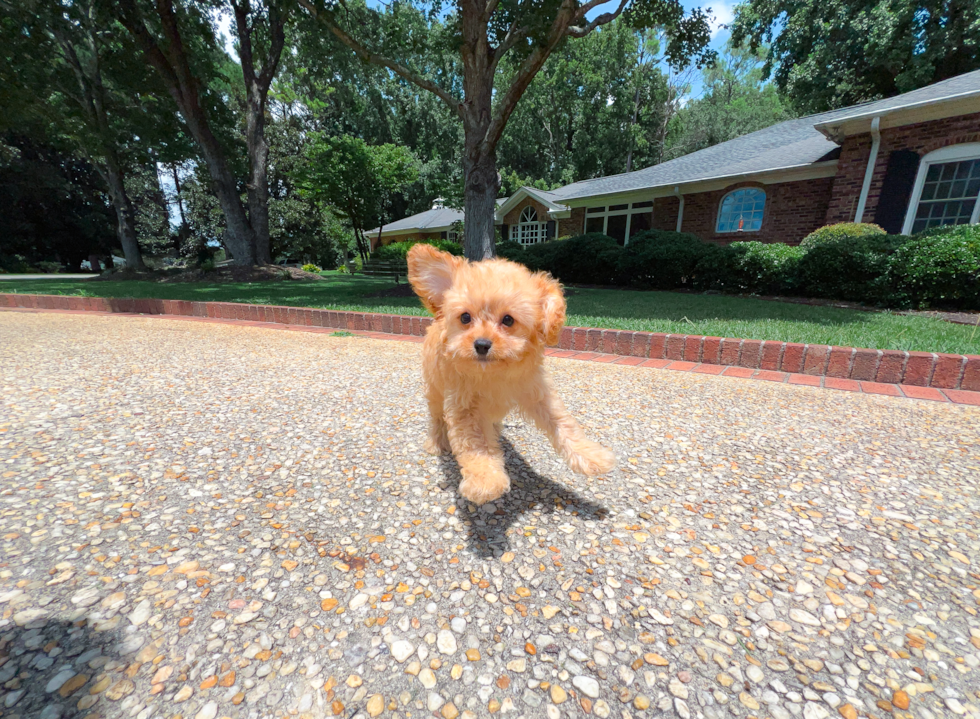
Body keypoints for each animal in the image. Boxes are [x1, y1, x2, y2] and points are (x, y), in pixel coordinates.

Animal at [406, 248, 612, 506]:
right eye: (465, 318)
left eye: (508, 320)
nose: (481, 344)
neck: (495, 373)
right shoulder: (464, 406)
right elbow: (475, 444)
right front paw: (486, 481)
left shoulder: (538, 393)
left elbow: (563, 423)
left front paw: (591, 456)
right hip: (434, 387)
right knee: (436, 417)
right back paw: (436, 443)